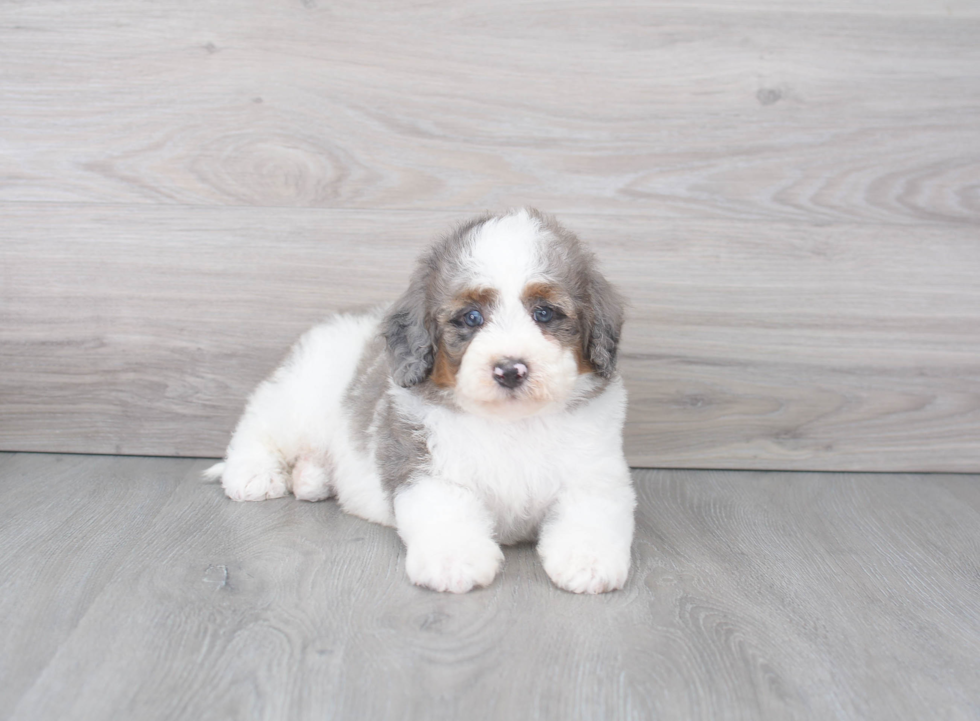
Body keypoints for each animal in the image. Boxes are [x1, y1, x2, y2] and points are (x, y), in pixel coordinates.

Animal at [207, 205, 636, 592]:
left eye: (544, 313)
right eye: (472, 318)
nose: (510, 369)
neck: (512, 423)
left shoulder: (595, 473)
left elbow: (592, 513)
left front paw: (588, 560)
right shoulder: (425, 465)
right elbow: (445, 508)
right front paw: (454, 559)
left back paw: (312, 478)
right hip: (303, 394)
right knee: (260, 425)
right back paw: (254, 473)